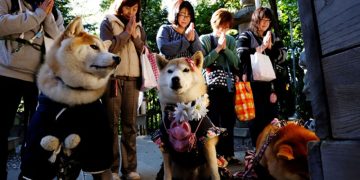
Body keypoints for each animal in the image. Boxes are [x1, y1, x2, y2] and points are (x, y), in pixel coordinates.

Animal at [20, 17, 119, 180]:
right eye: (94, 47)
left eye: (106, 50)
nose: (118, 58)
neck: (73, 94)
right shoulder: (37, 145)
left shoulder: (99, 146)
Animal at [153, 51, 221, 180]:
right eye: (170, 71)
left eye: (186, 70)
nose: (175, 78)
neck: (182, 109)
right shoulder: (164, 143)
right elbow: (167, 174)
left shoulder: (208, 140)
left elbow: (215, 172)